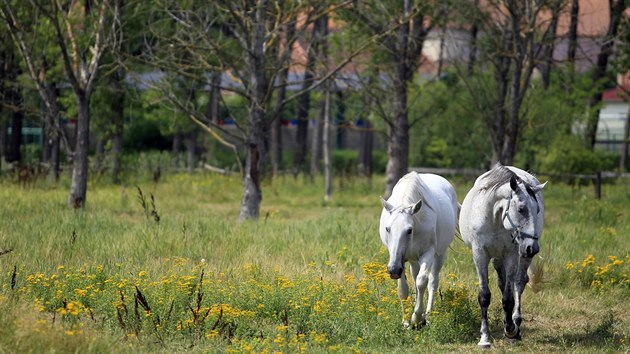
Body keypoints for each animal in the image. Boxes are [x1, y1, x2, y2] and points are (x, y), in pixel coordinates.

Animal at [380, 171, 460, 326]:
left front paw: (417, 318)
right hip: (412, 259)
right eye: (387, 229)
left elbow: (422, 281)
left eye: (409, 230)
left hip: (440, 254)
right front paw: (406, 320)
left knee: (432, 282)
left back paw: (427, 315)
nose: (393, 270)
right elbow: (403, 288)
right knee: (415, 276)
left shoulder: (427, 253)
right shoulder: (399, 259)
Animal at [462, 165, 544, 348]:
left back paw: (516, 323)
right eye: (521, 209)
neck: (495, 218)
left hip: (520, 255)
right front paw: (484, 337)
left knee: (518, 283)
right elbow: (484, 296)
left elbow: (508, 298)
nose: (533, 248)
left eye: (537, 210)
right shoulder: (480, 254)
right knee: (502, 282)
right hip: (498, 257)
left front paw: (511, 330)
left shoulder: (511, 254)